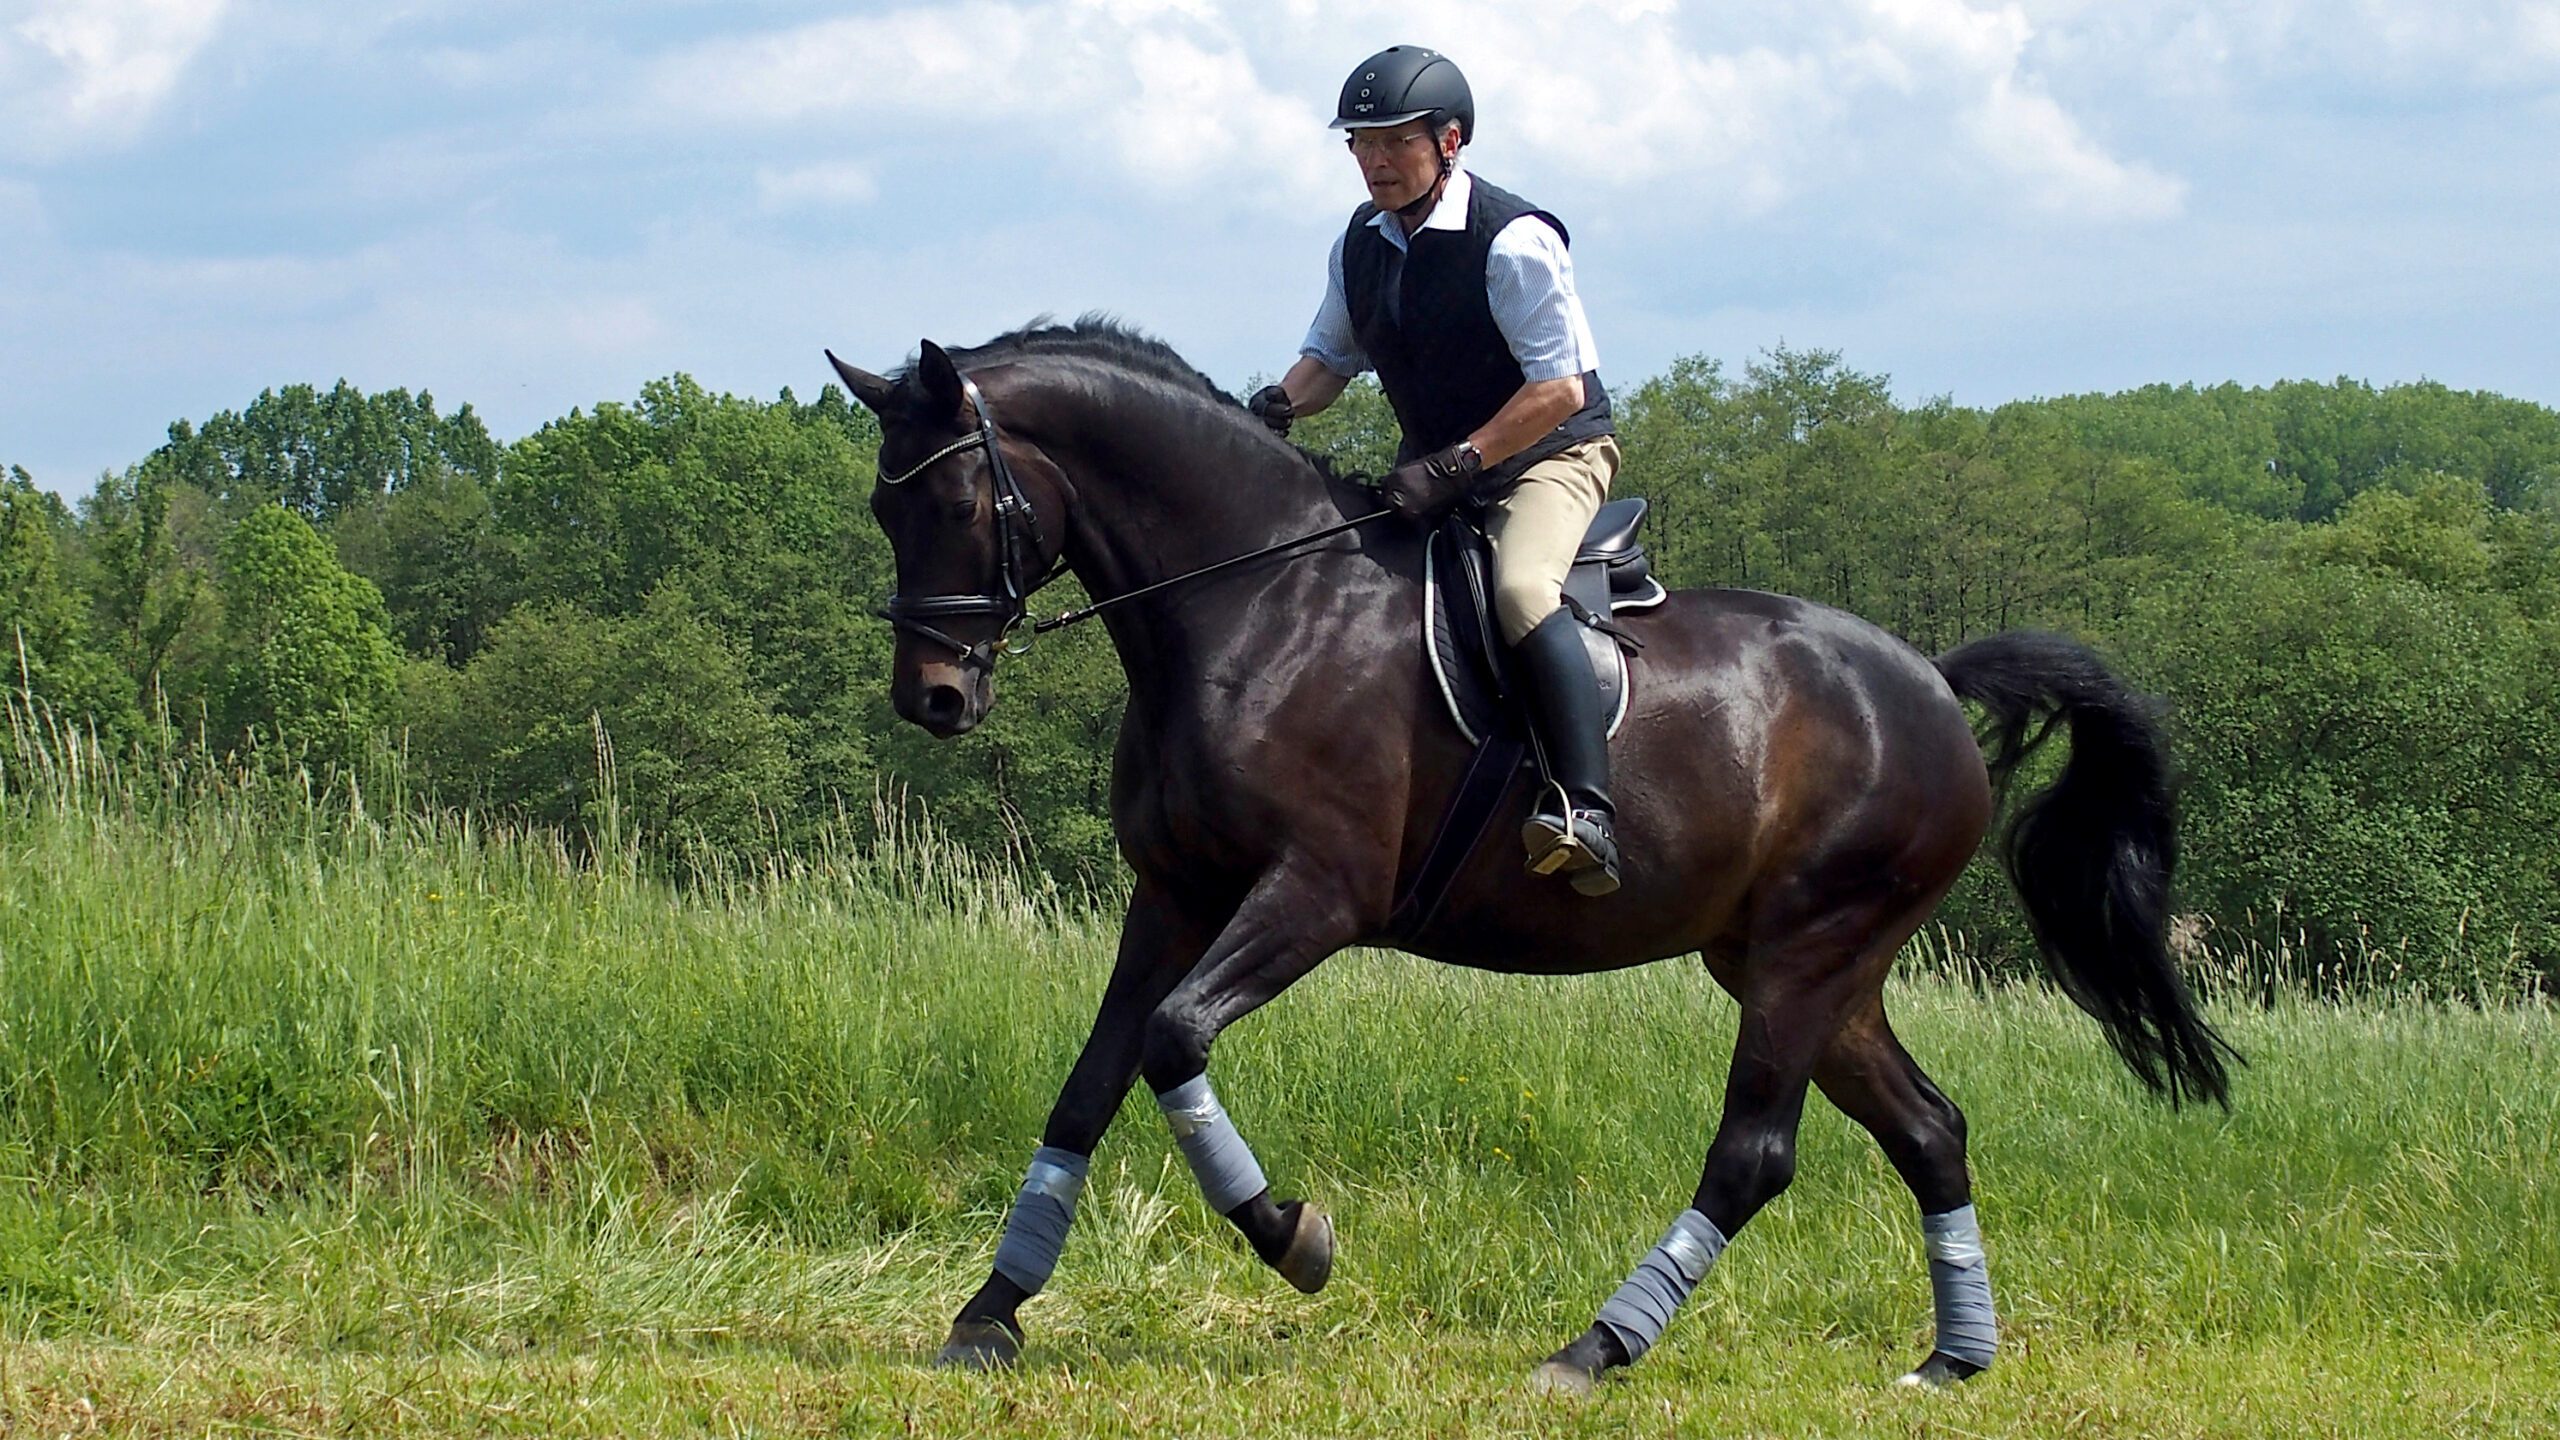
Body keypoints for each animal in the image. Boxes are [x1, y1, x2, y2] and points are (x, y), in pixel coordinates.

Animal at [829, 319, 2232, 1383]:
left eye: (956, 497)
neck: (1256, 604)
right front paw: (989, 1314)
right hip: (1803, 965)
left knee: (1754, 1154)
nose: (932, 699)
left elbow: (1174, 1041)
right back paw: (1952, 1359)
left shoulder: (1315, 894)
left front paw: (1292, 1238)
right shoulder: (1174, 896)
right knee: (1929, 1129)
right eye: (881, 510)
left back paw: (1597, 1348)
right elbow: (1093, 1080)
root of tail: (1933, 685)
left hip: (1810, 949)